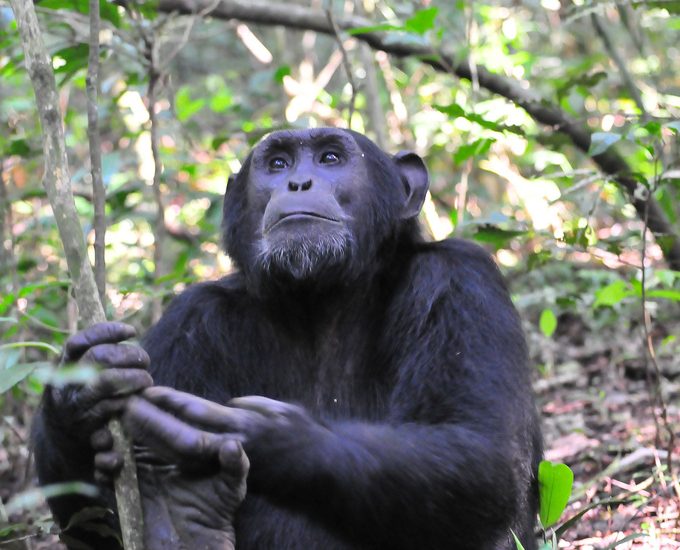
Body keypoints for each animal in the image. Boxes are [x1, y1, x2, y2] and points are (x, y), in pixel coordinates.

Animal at [33, 129, 540, 550]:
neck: (321, 300)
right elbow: (89, 528)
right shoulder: (191, 316)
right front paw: (83, 389)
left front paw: (262, 433)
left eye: (331, 157)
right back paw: (180, 520)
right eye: (277, 163)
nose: (297, 182)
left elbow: (480, 451)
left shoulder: (460, 280)